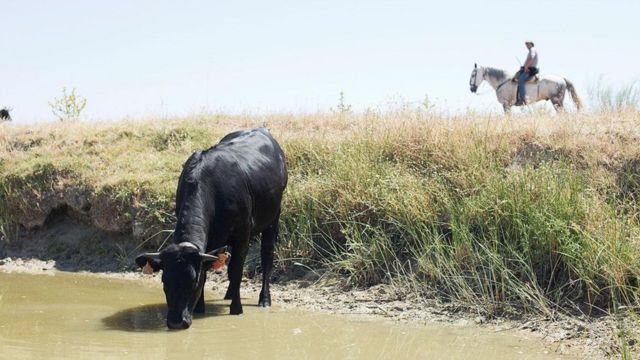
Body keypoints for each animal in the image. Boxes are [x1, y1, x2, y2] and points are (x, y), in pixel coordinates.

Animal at [137, 128, 288, 330]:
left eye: (193, 283)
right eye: (165, 283)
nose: (176, 322)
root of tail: (260, 129)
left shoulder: (242, 234)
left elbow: (235, 270)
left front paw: (236, 309)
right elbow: (209, 270)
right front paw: (200, 308)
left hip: (273, 218)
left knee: (266, 257)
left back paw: (264, 299)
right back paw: (229, 293)